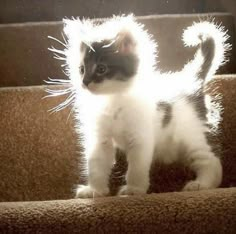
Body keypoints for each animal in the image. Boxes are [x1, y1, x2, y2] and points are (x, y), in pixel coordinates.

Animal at [50, 14, 230, 197]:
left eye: (101, 68)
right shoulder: (100, 138)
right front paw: (95, 190)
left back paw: (202, 184)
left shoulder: (140, 136)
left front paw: (134, 189)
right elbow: (96, 164)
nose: (84, 83)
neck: (112, 100)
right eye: (81, 69)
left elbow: (137, 167)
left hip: (192, 135)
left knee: (211, 161)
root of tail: (192, 80)